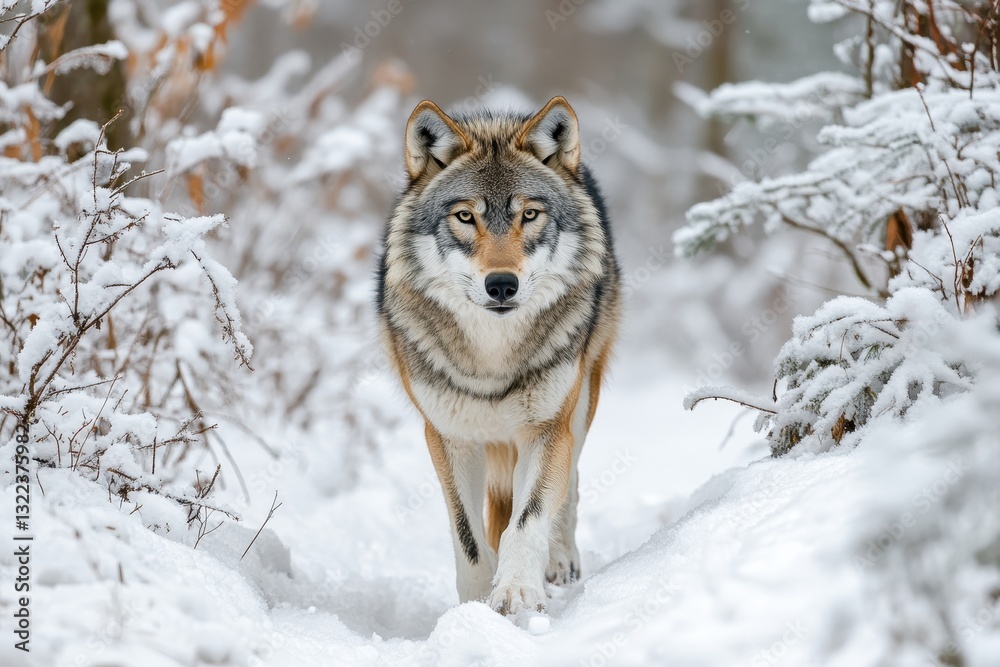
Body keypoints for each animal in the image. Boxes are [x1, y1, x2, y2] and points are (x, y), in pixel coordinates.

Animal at [376, 96, 621, 616]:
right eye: (466, 217)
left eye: (529, 215)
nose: (502, 284)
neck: (493, 357)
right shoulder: (448, 438)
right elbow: (468, 536)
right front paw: (474, 606)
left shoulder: (547, 428)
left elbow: (528, 518)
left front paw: (517, 591)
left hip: (580, 405)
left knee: (569, 485)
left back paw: (560, 561)